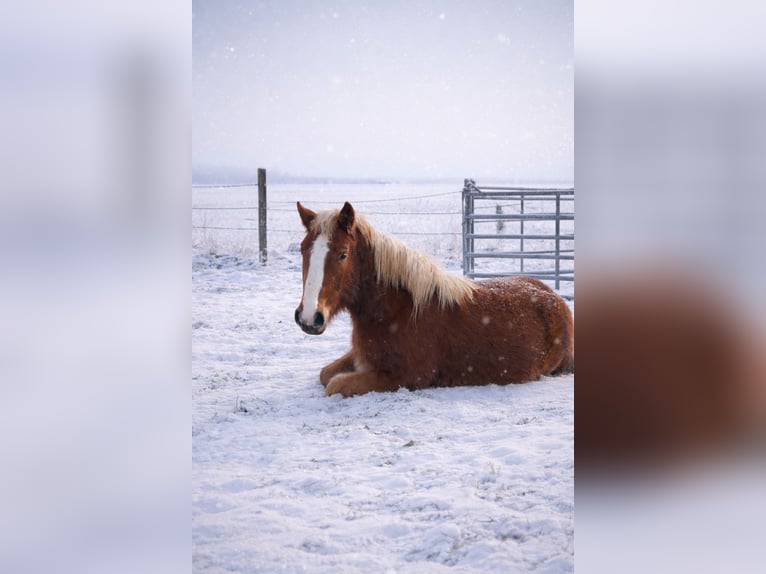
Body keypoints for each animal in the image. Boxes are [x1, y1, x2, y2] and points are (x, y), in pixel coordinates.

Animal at [294, 201, 574, 397]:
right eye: (302, 249)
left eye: (343, 254)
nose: (308, 317)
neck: (396, 309)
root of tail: (554, 297)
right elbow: (325, 374)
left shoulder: (402, 377)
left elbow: (333, 384)